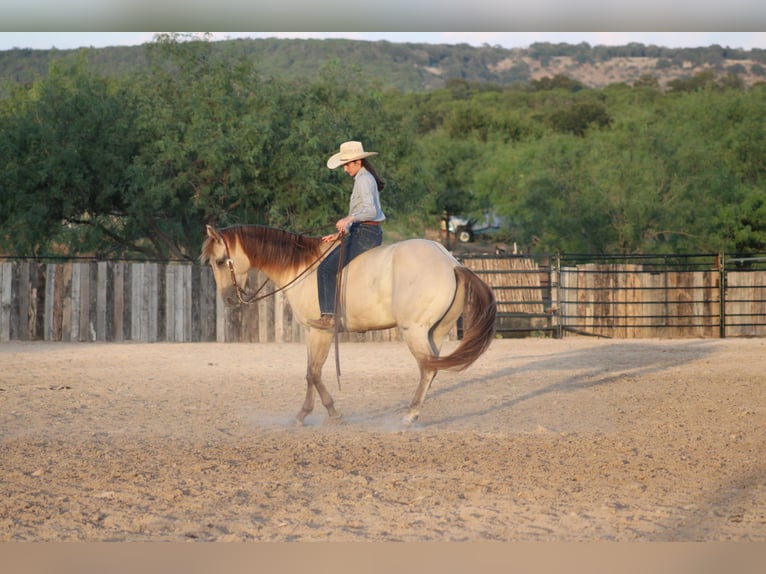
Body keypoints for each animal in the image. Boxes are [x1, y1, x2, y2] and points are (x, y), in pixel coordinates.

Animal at [201, 224, 496, 426]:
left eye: (220, 261)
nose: (229, 300)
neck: (301, 267)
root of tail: (452, 263)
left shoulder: (320, 330)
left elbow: (314, 373)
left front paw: (332, 413)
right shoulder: (312, 333)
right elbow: (310, 372)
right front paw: (303, 414)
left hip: (414, 331)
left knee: (427, 368)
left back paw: (409, 415)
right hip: (436, 332)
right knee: (433, 367)